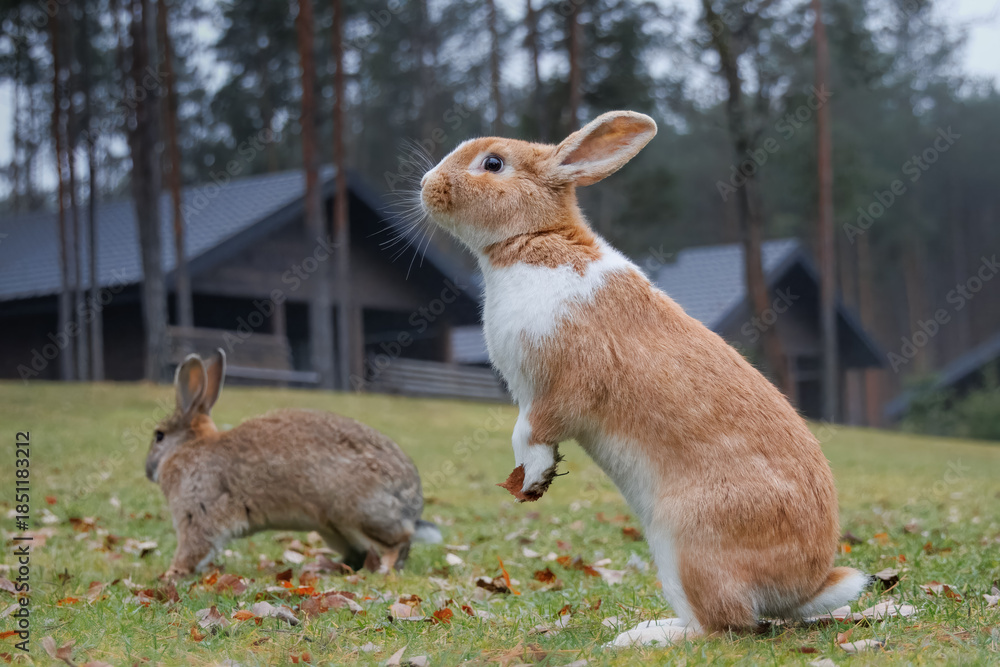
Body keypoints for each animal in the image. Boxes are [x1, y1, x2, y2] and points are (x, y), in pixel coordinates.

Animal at [145, 349, 441, 579]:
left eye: (159, 436)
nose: (148, 470)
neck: (189, 447)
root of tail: (412, 508)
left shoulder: (198, 512)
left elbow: (192, 548)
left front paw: (171, 573)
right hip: (332, 528)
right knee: (360, 555)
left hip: (359, 513)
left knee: (399, 542)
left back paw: (382, 568)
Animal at [418, 111, 868, 645]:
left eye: (493, 163)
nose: (427, 185)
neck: (534, 239)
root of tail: (806, 585)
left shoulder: (559, 387)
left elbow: (531, 433)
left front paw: (531, 478)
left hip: (686, 542)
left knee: (720, 625)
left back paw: (640, 637)